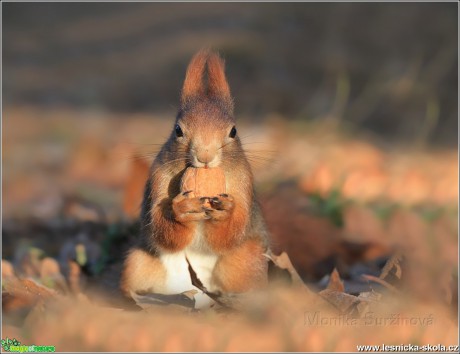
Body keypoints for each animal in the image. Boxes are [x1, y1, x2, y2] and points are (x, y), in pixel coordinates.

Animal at [120, 49, 270, 306]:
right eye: (178, 130)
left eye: (233, 131)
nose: (205, 156)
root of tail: (199, 298)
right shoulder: (159, 177)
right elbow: (162, 229)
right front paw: (183, 210)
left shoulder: (243, 181)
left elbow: (232, 231)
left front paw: (225, 212)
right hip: (138, 265)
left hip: (246, 262)